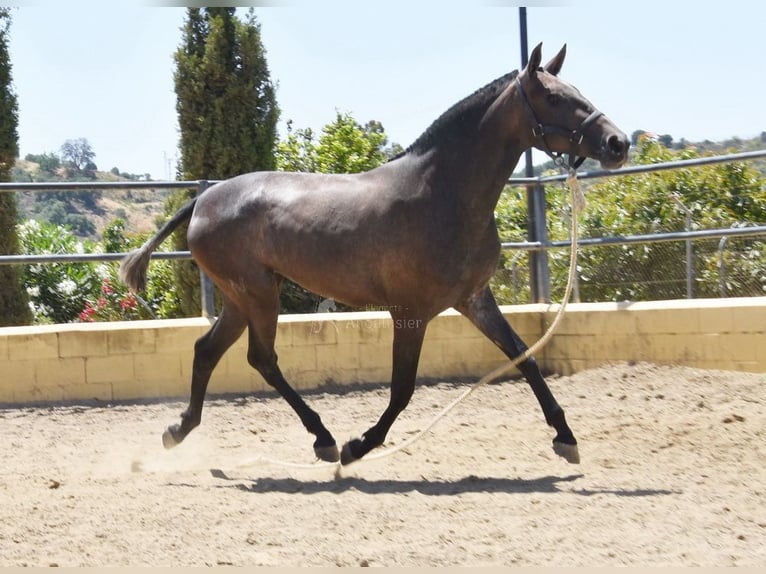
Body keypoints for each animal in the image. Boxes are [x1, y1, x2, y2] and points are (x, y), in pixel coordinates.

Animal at [121, 44, 632, 468]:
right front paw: (359, 445)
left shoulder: (474, 299)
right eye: (553, 98)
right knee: (261, 358)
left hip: (242, 297)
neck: (442, 192)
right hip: (258, 294)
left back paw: (180, 430)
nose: (618, 143)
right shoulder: (410, 313)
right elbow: (402, 389)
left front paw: (565, 437)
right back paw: (325, 439)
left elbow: (524, 357)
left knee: (208, 351)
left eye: (576, 91)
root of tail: (203, 201)